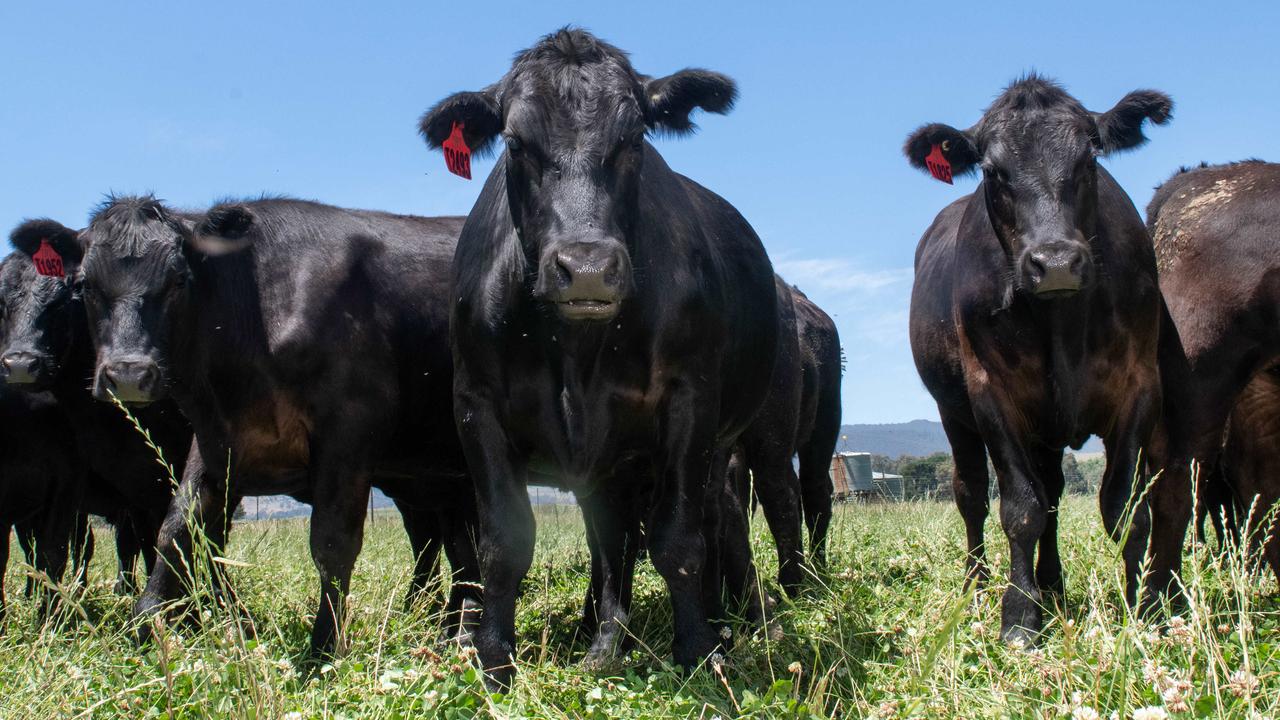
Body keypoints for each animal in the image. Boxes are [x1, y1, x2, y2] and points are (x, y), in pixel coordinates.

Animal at [76, 194, 483, 655]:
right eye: (84, 285)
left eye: (179, 280)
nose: (129, 373)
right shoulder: (218, 440)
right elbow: (178, 526)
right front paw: (146, 623)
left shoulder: (349, 430)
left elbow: (332, 544)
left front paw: (325, 646)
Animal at [422, 26, 778, 676]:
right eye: (514, 141)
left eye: (634, 137)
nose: (586, 269)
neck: (576, 353)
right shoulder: (475, 404)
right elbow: (505, 541)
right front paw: (493, 659)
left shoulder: (690, 399)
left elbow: (679, 538)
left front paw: (698, 651)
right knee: (611, 545)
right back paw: (606, 643)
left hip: (717, 444)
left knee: (715, 519)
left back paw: (724, 623)